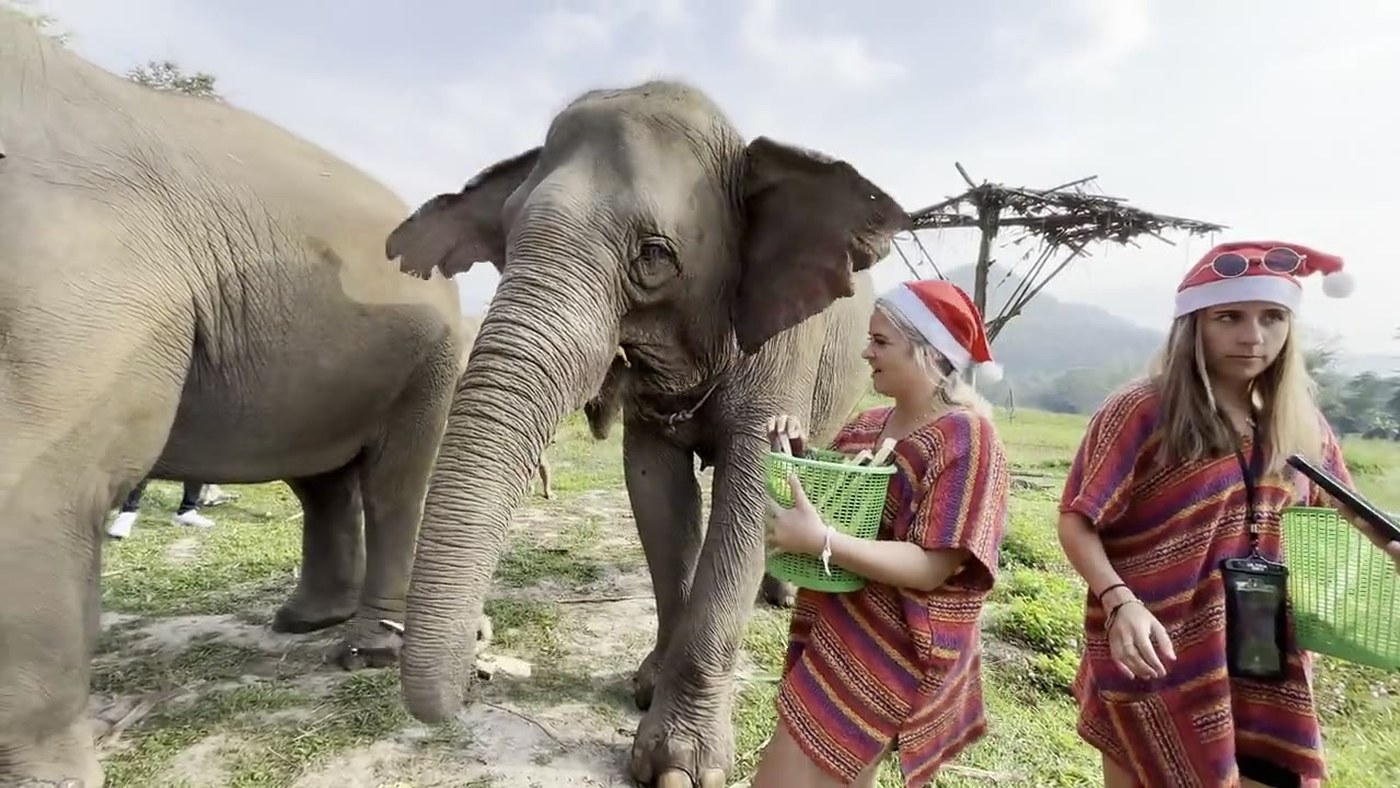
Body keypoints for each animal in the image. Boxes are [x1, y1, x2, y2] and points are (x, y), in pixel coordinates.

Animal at [0, 10, 467, 786]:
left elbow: (42, 491)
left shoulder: (76, 282)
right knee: (323, 480)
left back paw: (366, 648)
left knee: (393, 483)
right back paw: (305, 621)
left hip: (431, 360)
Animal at [385, 79, 912, 787]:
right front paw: (647, 685)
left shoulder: (786, 349)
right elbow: (657, 494)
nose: (480, 649)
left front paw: (677, 765)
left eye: (653, 256)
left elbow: (750, 495)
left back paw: (777, 596)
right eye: (506, 238)